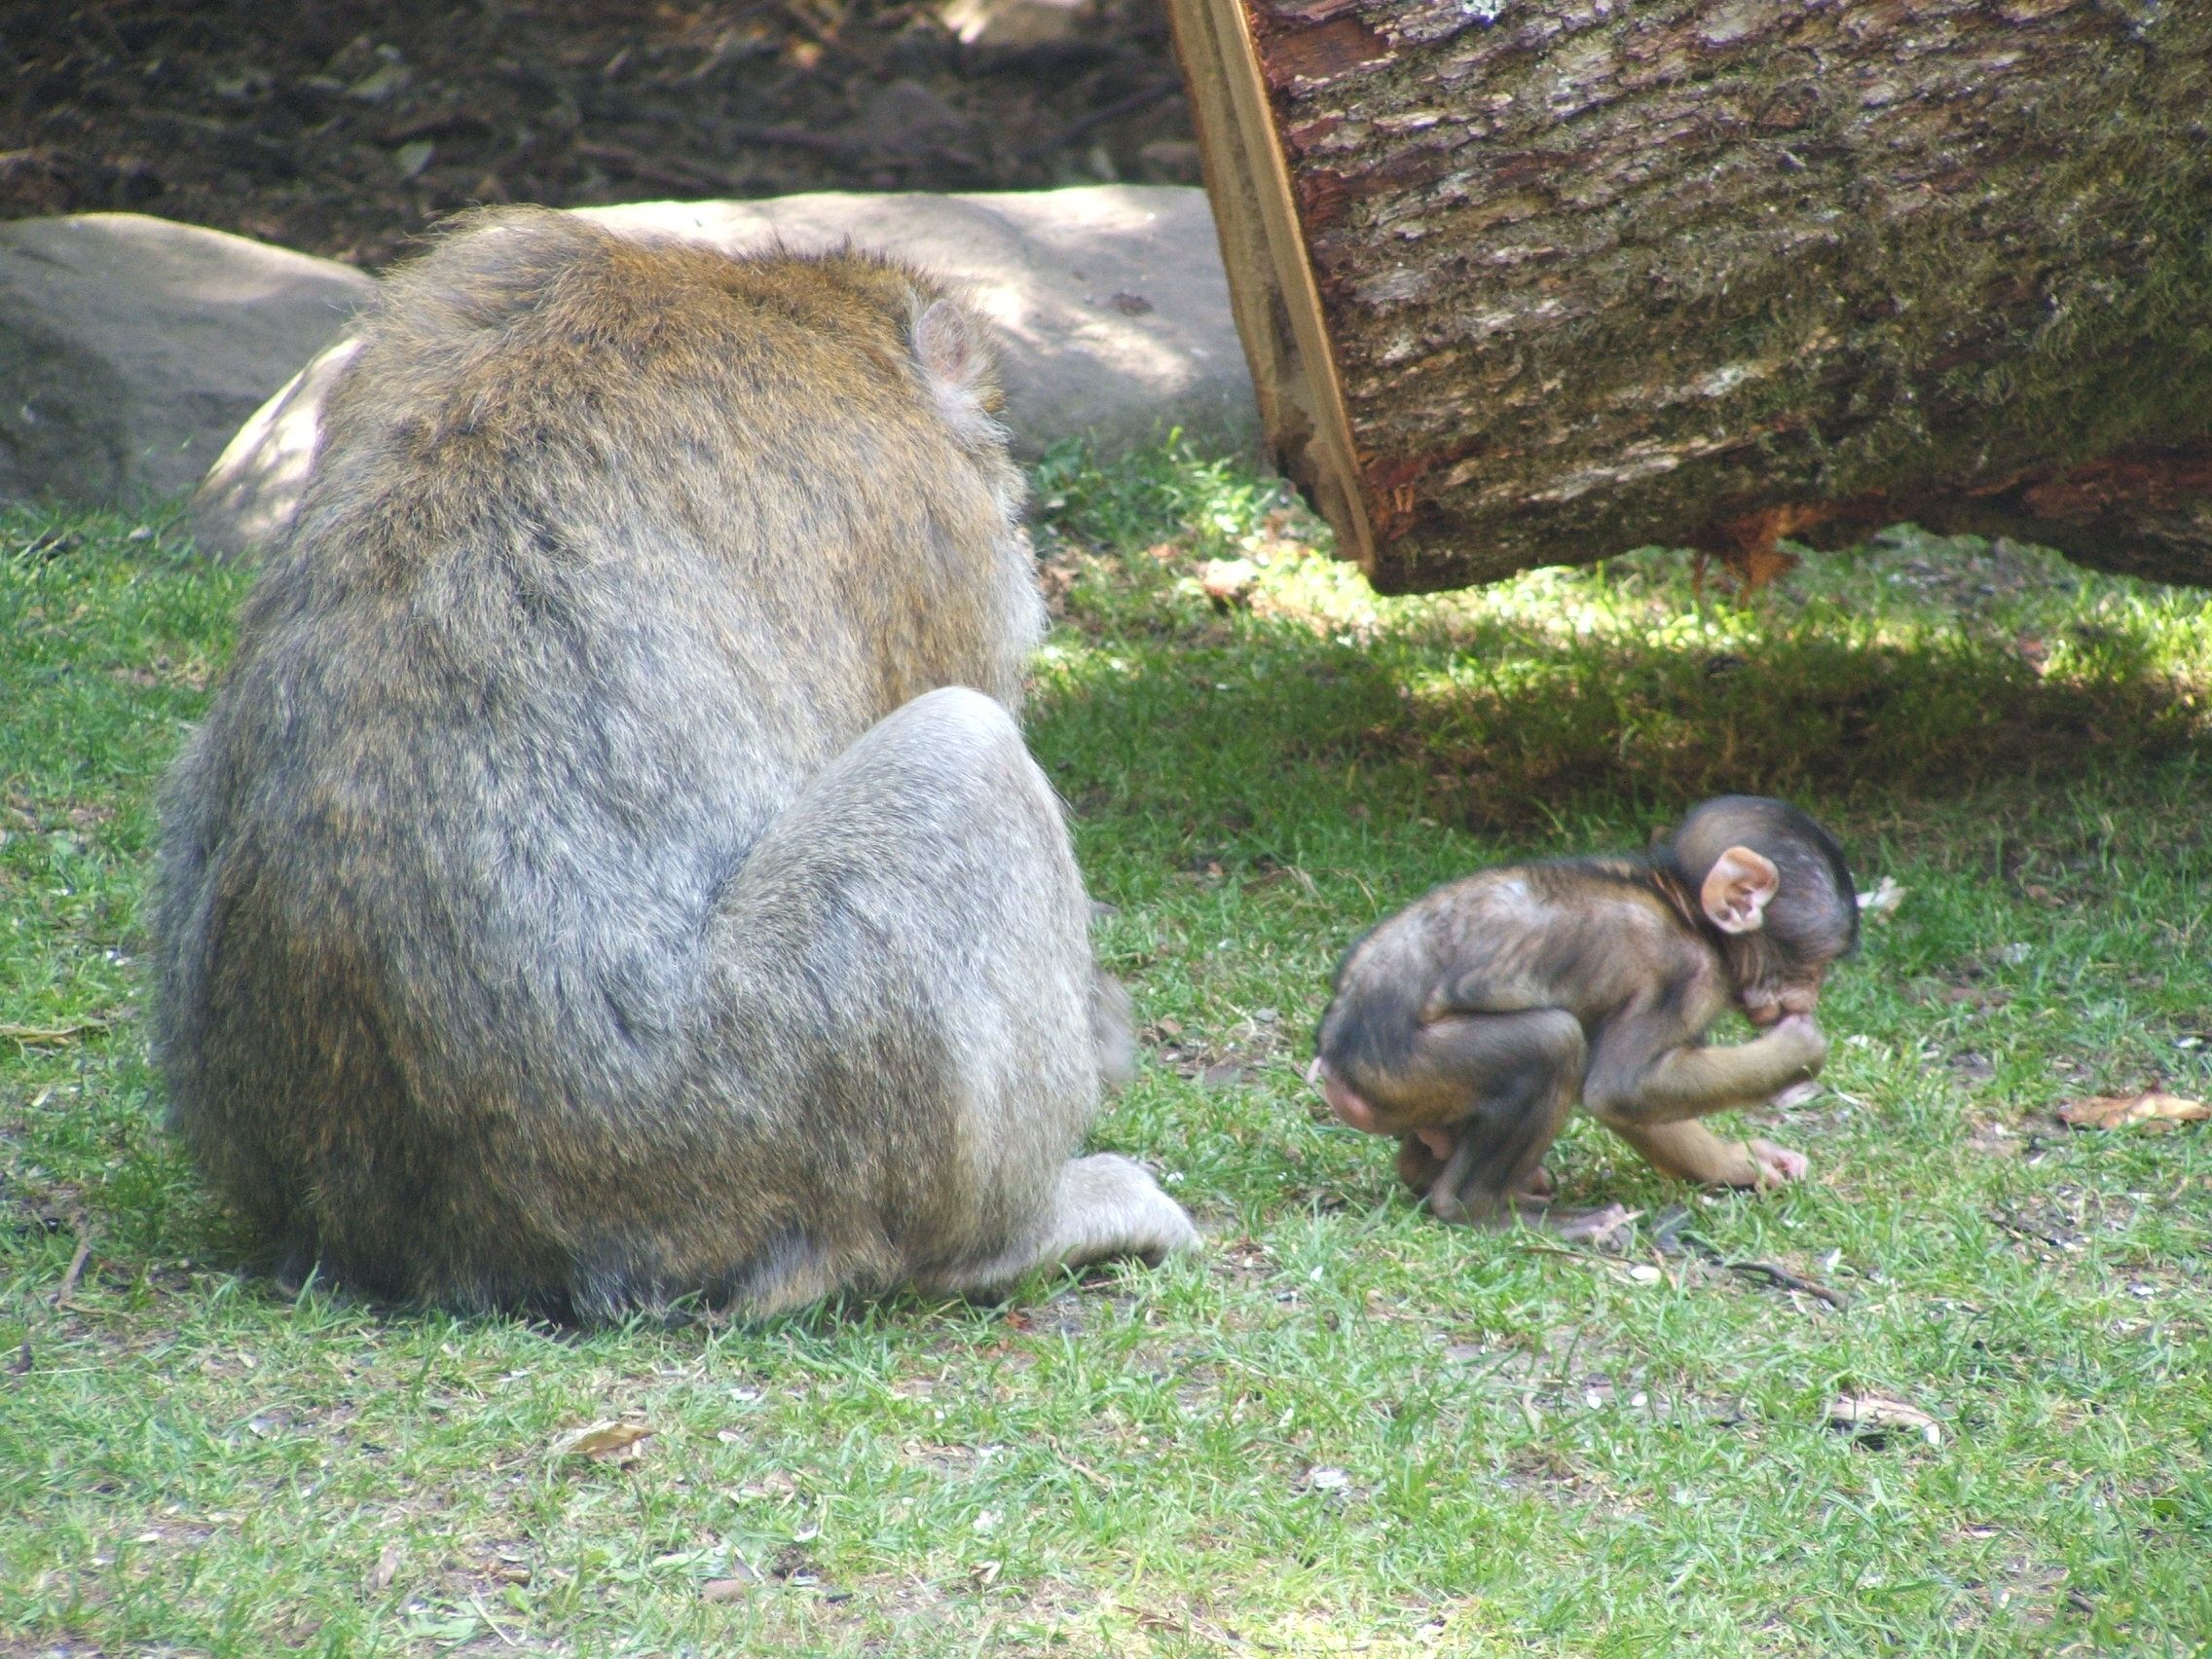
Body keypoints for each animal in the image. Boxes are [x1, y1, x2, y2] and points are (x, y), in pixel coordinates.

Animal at [153, 210, 1194, 1327]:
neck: (791, 305)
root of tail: (446, 1241)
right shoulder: (931, 521)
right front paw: (1100, 1024)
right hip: (749, 1101)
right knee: (965, 751)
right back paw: (1010, 1235)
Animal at [1300, 800, 1858, 1238]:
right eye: (1815, 965)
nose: (1809, 999)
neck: (1684, 908)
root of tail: (1335, 1065)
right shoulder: (1686, 975)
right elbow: (1624, 1088)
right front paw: (1800, 1049)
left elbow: (1635, 1104)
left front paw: (1739, 1164)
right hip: (1402, 1070)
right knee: (1552, 1042)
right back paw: (1481, 1210)